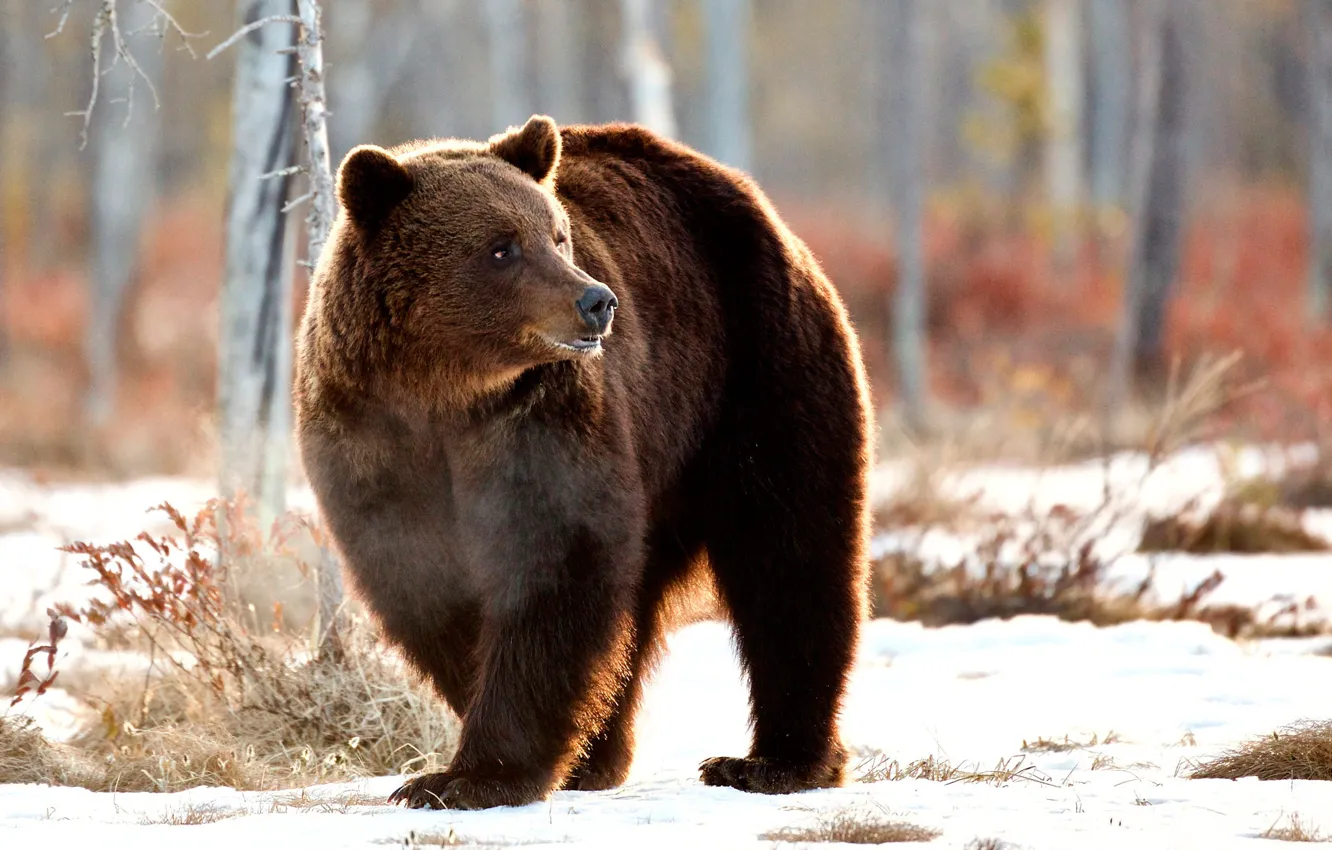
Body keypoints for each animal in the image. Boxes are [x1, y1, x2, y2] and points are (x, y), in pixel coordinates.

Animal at [293, 114, 873, 810]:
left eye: (558, 235)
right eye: (501, 247)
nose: (597, 301)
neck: (445, 396)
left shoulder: (542, 422)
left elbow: (555, 565)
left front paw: (474, 774)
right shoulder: (372, 443)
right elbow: (428, 585)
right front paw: (518, 757)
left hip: (756, 372)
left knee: (789, 550)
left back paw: (772, 761)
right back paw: (609, 752)